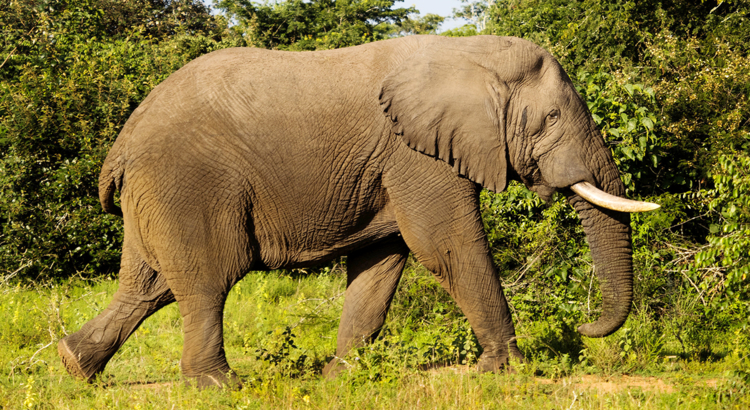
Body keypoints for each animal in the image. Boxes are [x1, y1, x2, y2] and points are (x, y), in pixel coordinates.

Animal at [58, 35, 658, 388]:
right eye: (551, 118)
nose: (582, 327)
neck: (472, 52)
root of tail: (121, 145)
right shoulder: (415, 154)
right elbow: (446, 245)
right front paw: (506, 373)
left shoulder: (392, 164)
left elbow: (381, 264)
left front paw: (339, 377)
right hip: (187, 186)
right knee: (207, 281)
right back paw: (221, 387)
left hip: (155, 194)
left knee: (146, 286)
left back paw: (74, 366)